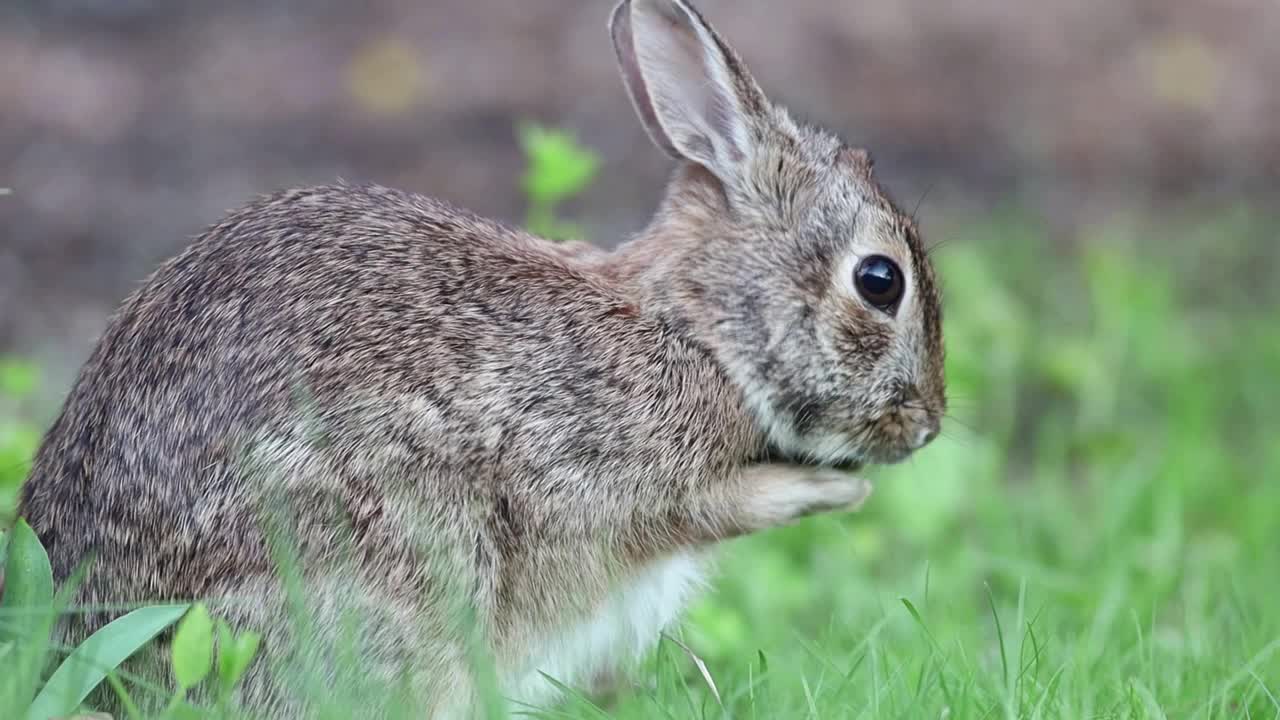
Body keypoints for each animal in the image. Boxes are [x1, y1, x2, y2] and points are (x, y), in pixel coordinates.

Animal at [15, 0, 947, 712]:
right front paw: (831, 490)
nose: (929, 426)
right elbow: (702, 507)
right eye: (879, 281)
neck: (697, 332)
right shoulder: (604, 477)